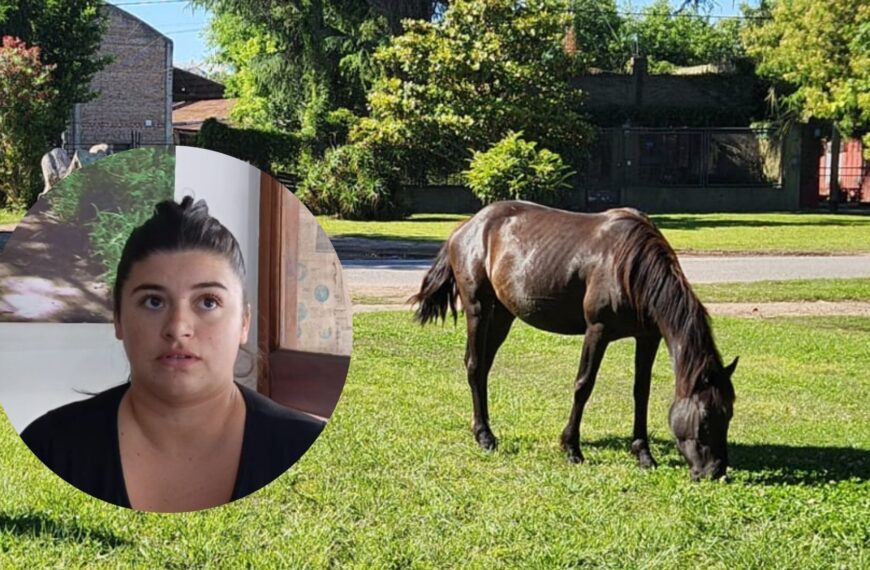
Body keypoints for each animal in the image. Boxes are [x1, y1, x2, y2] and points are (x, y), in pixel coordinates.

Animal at [411, 200, 737, 480]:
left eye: (729, 413)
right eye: (705, 418)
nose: (715, 472)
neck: (629, 267)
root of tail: (466, 227)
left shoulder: (648, 337)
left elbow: (640, 391)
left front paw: (643, 453)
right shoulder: (598, 331)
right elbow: (584, 385)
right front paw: (571, 447)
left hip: (503, 314)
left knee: (483, 368)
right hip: (478, 308)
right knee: (475, 366)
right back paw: (485, 436)